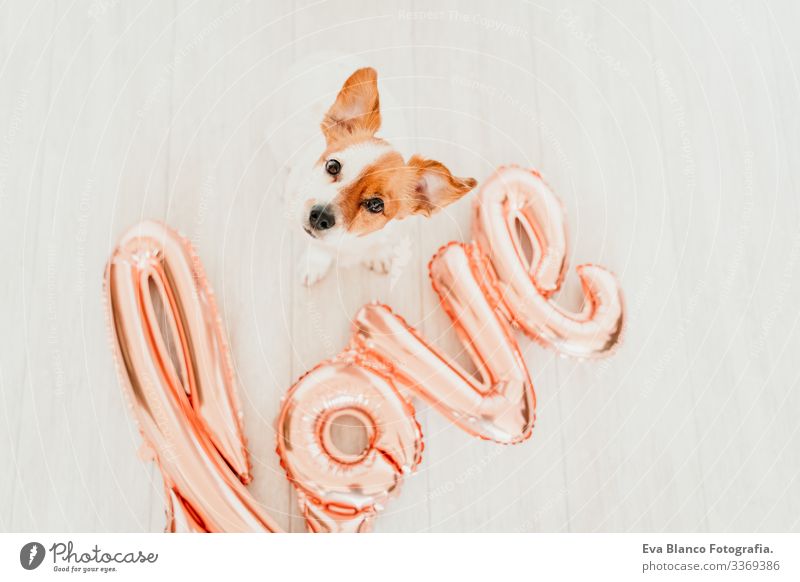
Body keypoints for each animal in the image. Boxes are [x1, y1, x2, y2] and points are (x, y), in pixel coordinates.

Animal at [276, 58, 476, 286]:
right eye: (332, 166)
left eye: (376, 205)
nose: (319, 217)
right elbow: (317, 246)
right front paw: (315, 263)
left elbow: (378, 244)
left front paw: (378, 255)